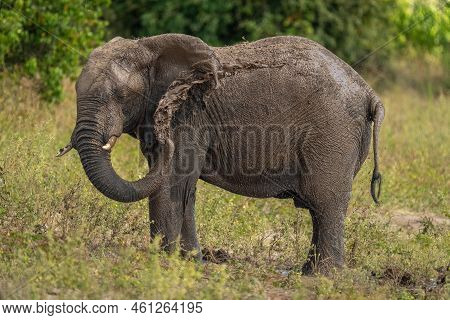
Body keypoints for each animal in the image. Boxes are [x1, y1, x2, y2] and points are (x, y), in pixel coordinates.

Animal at [59, 34, 384, 276]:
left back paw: (321, 277)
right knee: (321, 210)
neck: (149, 48)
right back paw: (308, 273)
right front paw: (190, 261)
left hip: (332, 135)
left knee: (325, 204)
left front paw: (162, 260)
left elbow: (174, 179)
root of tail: (370, 92)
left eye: (120, 95)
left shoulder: (188, 116)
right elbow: (183, 189)